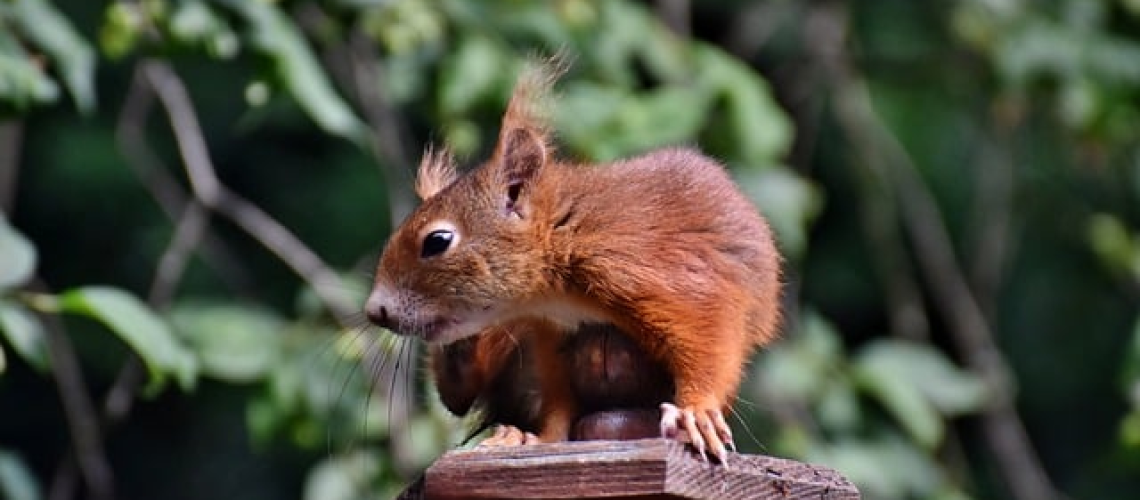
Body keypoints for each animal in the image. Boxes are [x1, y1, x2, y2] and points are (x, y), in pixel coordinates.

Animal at [364, 66, 784, 462]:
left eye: (437, 241)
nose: (374, 310)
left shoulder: (663, 276)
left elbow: (710, 342)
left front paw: (695, 413)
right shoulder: (552, 334)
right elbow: (559, 406)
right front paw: (540, 439)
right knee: (467, 394)